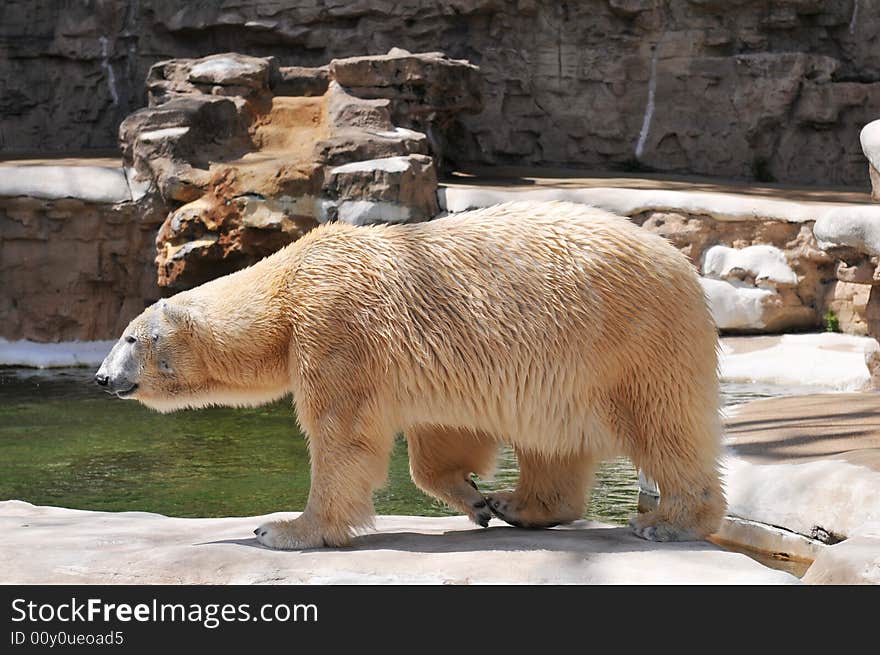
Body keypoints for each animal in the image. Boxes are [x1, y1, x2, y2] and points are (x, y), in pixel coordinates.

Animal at [99, 202, 724, 552]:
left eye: (130, 338)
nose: (103, 378)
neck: (286, 286)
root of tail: (681, 264)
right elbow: (442, 435)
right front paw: (474, 499)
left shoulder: (335, 326)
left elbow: (342, 436)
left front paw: (286, 530)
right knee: (551, 436)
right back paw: (519, 505)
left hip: (627, 339)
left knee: (664, 424)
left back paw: (671, 522)